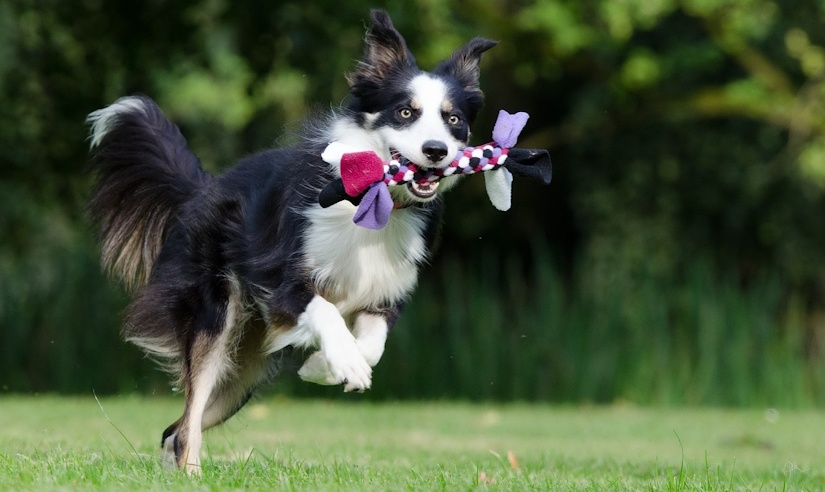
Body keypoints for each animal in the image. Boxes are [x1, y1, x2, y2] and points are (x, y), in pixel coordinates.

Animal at [87, 10, 492, 472]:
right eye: (406, 111)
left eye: (453, 119)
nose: (436, 150)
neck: (375, 202)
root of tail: (202, 188)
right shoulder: (279, 278)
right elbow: (326, 311)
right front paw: (344, 362)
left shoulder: (386, 292)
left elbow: (373, 345)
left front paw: (324, 366)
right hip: (217, 317)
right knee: (187, 421)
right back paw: (192, 474)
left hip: (243, 370)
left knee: (175, 429)